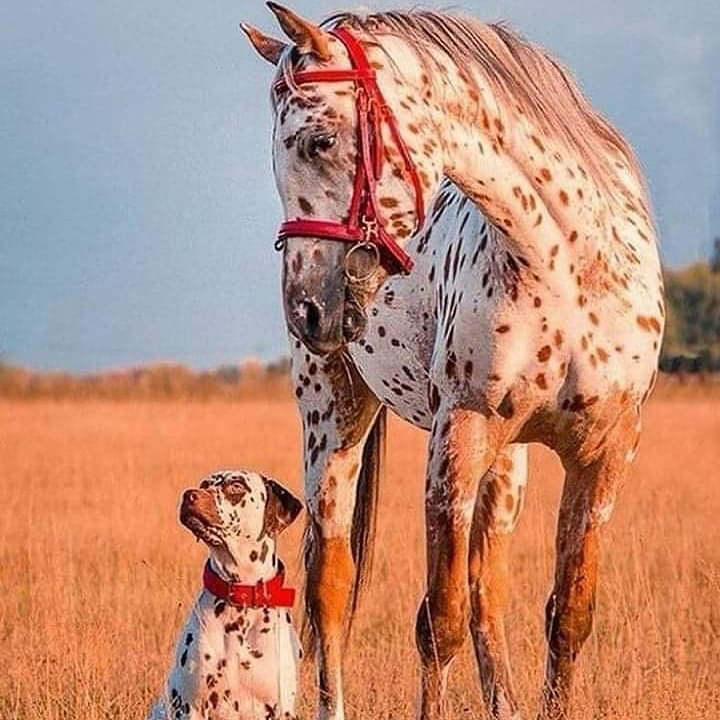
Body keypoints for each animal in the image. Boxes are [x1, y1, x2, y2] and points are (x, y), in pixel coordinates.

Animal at [241, 5, 664, 720]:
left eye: (319, 142)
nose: (305, 307)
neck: (566, 264)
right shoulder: (458, 437)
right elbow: (438, 621)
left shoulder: (606, 454)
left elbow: (566, 616)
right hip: (333, 416)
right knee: (331, 586)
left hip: (509, 462)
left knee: (487, 591)